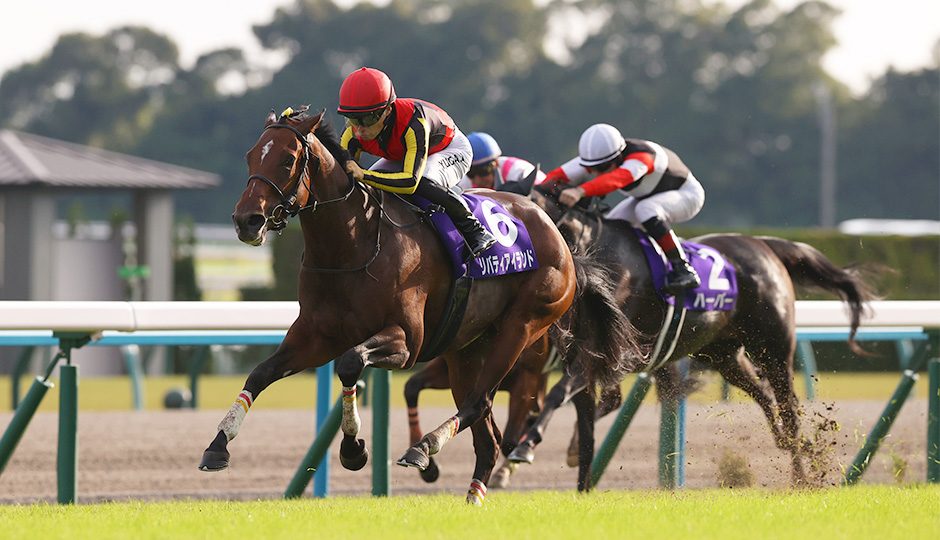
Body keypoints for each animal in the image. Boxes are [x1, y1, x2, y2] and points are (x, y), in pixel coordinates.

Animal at [197, 107, 641, 504]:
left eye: (288, 159)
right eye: (251, 156)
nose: (246, 220)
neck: (353, 245)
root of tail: (561, 240)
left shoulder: (406, 342)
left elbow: (350, 363)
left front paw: (354, 450)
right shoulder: (315, 336)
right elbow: (261, 373)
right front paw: (218, 445)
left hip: (522, 327)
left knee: (480, 404)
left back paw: (424, 449)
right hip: (467, 349)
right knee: (487, 433)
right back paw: (473, 496)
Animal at [505, 180, 877, 491]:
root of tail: (763, 244)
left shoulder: (601, 354)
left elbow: (560, 396)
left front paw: (524, 448)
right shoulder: (585, 356)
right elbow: (580, 417)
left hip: (772, 348)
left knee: (789, 407)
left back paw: (801, 476)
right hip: (724, 355)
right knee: (765, 395)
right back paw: (789, 445)